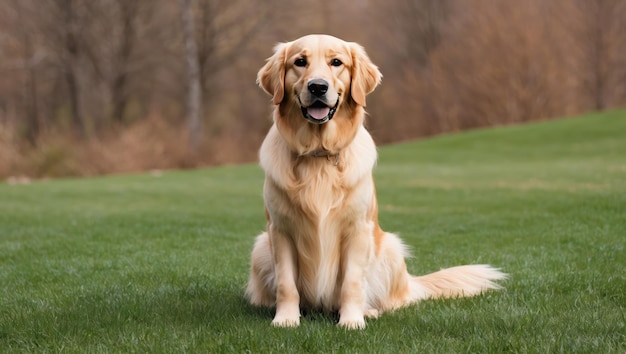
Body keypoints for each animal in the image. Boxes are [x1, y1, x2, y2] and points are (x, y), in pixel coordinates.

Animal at [244, 34, 502, 328]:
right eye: (300, 62)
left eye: (336, 62)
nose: (318, 86)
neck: (319, 154)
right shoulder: (280, 230)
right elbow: (287, 283)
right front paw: (286, 319)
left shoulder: (357, 230)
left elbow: (352, 282)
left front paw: (352, 321)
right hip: (261, 247)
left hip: (390, 248)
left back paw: (369, 310)